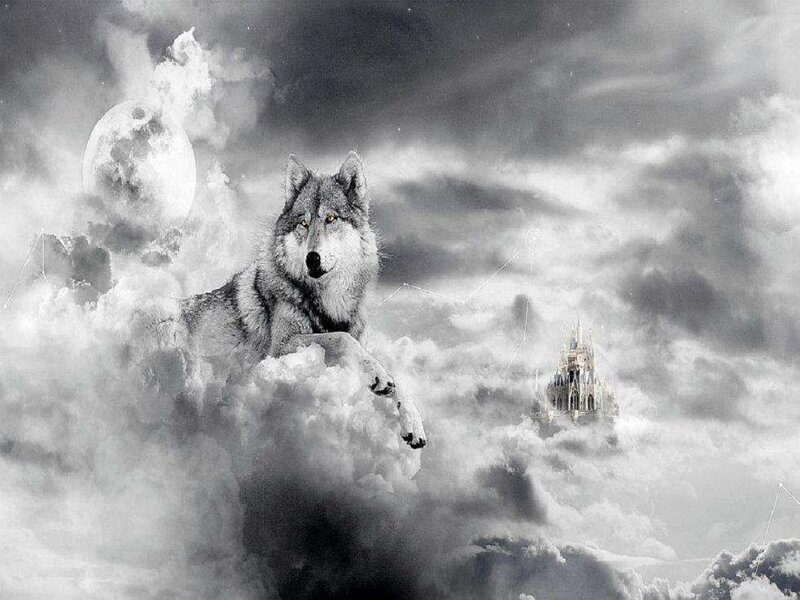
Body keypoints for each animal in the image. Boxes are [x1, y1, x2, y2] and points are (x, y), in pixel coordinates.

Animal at [180, 152, 426, 448]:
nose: (312, 258)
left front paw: (412, 422)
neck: (329, 301)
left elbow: (395, 382)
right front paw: (377, 375)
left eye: (331, 218)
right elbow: (341, 338)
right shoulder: (279, 348)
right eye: (303, 223)